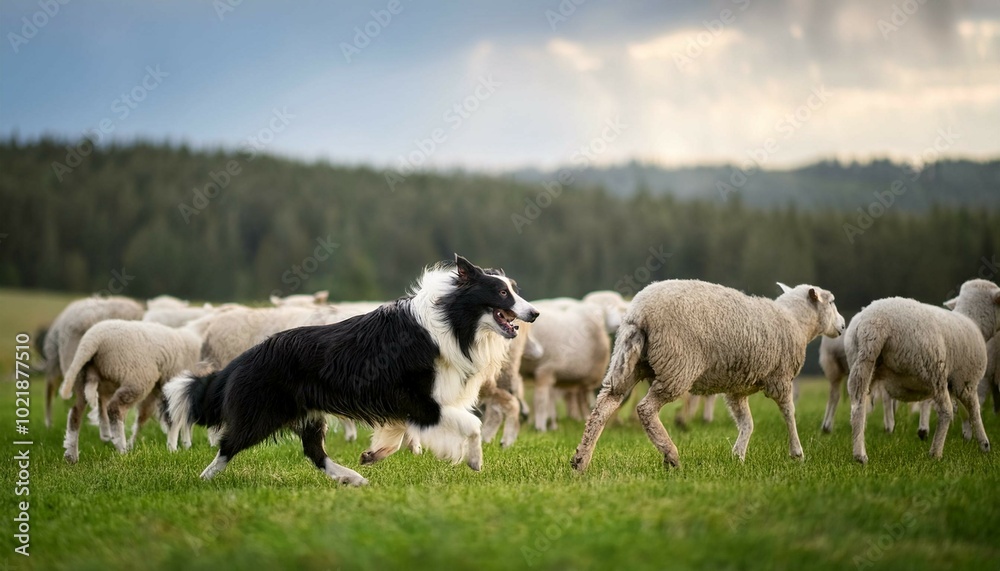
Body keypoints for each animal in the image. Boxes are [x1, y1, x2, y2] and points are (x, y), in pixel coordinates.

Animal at [57, 320, 202, 462]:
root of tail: (93, 340)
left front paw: (184, 444)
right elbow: (175, 419)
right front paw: (175, 448)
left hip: (85, 378)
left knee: (76, 411)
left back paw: (71, 455)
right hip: (137, 378)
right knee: (115, 408)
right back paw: (122, 449)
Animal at [165, 256, 540, 488]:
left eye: (514, 289)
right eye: (501, 292)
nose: (534, 313)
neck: (452, 319)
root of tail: (242, 359)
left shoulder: (404, 404)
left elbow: (398, 435)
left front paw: (372, 455)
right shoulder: (421, 402)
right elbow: (472, 424)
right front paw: (475, 462)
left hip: (308, 413)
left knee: (314, 452)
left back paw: (350, 478)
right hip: (264, 412)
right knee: (229, 443)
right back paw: (204, 478)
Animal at [572, 282, 844, 474]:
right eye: (831, 302)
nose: (842, 326)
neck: (795, 322)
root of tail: (639, 313)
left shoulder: (737, 390)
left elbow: (747, 423)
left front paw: (738, 456)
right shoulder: (781, 378)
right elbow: (789, 413)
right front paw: (797, 453)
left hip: (630, 361)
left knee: (604, 405)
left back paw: (581, 460)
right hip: (677, 364)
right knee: (645, 409)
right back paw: (671, 455)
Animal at [844, 280, 1000, 464]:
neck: (974, 320)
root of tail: (875, 323)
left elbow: (965, 411)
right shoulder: (966, 381)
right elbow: (974, 411)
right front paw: (984, 444)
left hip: (861, 361)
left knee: (858, 405)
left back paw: (859, 455)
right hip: (932, 367)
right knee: (945, 411)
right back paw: (936, 452)